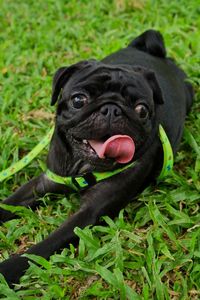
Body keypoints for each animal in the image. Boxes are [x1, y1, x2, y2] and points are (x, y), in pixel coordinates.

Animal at [0, 29, 194, 286]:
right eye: (78, 100)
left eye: (142, 110)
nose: (112, 109)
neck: (83, 168)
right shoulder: (45, 182)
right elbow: (8, 203)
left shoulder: (89, 213)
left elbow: (40, 249)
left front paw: (6, 271)